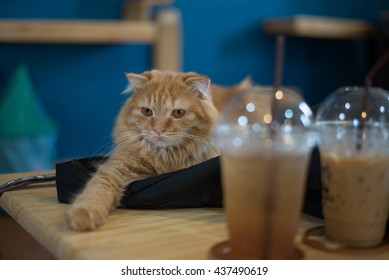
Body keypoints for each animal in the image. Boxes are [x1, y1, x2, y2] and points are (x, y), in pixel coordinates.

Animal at [64, 70, 252, 230]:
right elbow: (96, 189)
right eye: (147, 111)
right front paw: (84, 214)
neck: (167, 156)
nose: (158, 130)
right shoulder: (118, 166)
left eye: (178, 113)